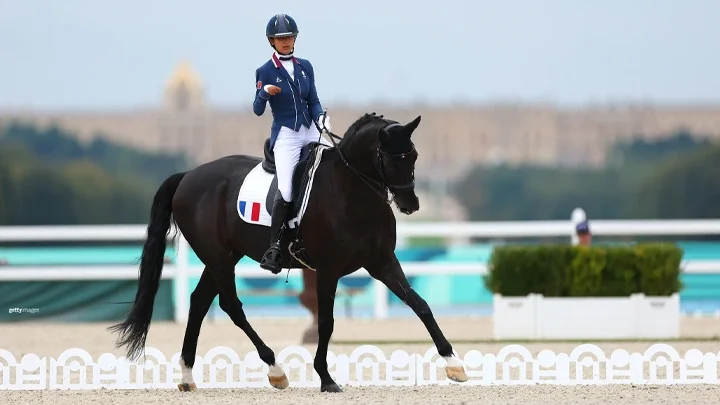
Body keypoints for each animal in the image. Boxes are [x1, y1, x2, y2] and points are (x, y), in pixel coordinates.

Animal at [108, 112, 468, 393]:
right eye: (391, 157)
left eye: (413, 154)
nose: (411, 204)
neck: (351, 191)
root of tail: (188, 176)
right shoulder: (328, 269)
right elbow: (326, 321)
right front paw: (326, 378)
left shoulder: (382, 262)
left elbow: (419, 304)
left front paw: (453, 363)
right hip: (219, 258)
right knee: (230, 306)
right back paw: (275, 369)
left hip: (223, 257)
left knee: (199, 302)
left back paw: (187, 376)